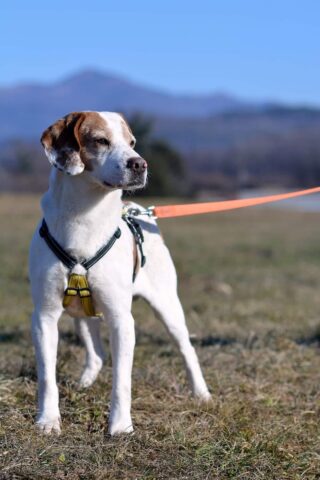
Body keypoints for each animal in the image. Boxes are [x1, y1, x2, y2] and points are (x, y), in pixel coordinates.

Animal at [29, 111, 210, 436]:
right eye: (101, 140)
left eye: (132, 142)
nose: (139, 164)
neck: (84, 218)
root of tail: (136, 210)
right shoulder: (44, 317)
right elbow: (47, 378)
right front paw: (48, 420)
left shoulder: (121, 320)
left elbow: (122, 382)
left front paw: (121, 426)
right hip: (81, 315)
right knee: (97, 355)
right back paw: (85, 383)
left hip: (168, 307)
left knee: (187, 350)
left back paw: (201, 393)